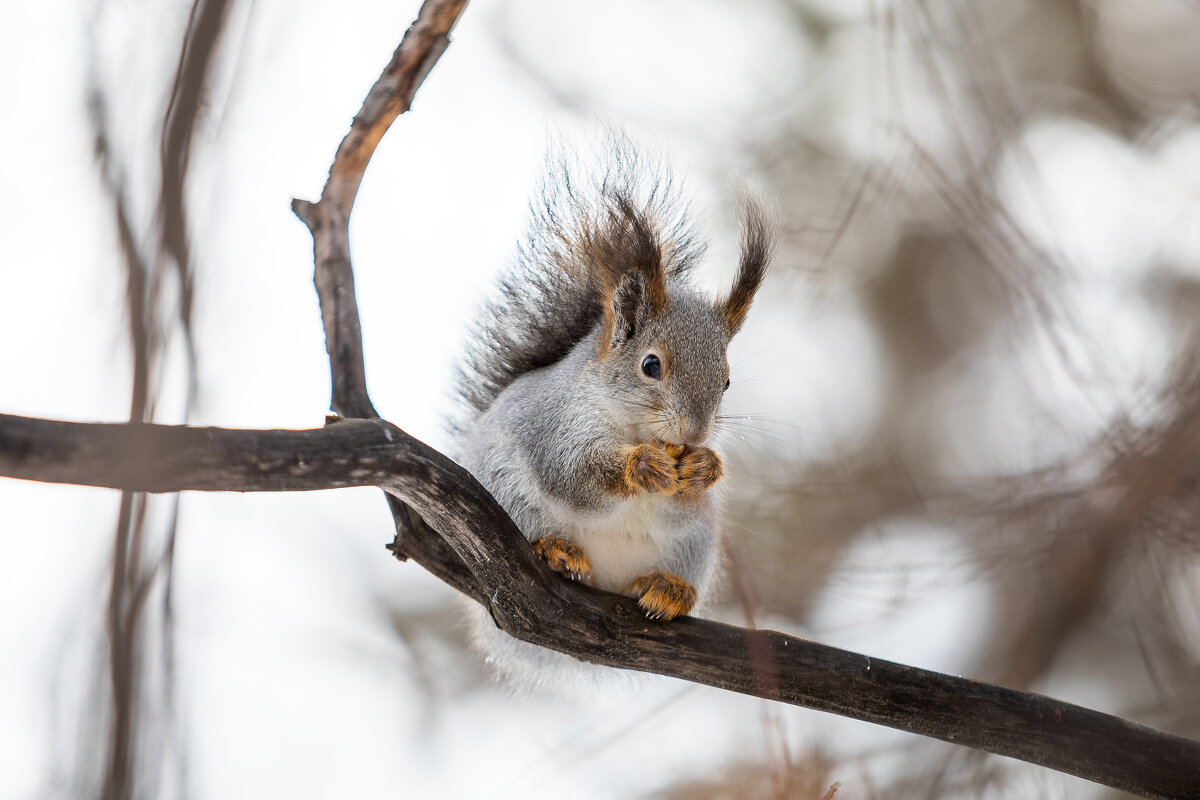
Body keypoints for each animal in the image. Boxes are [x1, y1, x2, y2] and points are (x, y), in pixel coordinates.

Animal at [448, 148, 768, 681]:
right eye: (651, 365)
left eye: (725, 381)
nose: (696, 432)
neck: (637, 428)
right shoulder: (555, 427)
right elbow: (573, 475)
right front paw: (642, 466)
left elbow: (685, 496)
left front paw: (705, 468)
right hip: (508, 497)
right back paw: (557, 552)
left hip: (694, 543)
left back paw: (670, 589)